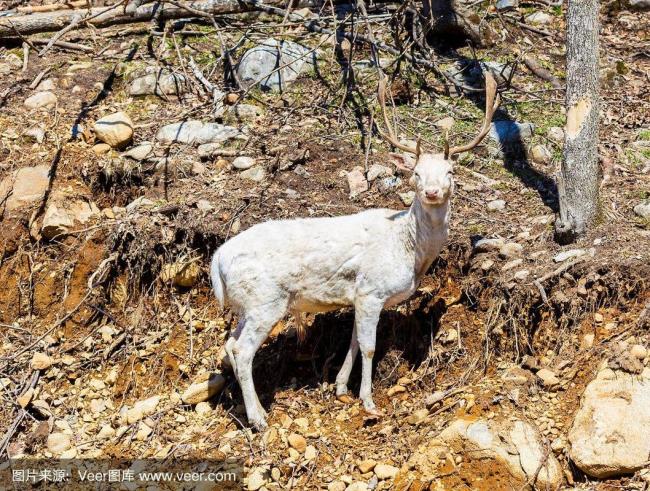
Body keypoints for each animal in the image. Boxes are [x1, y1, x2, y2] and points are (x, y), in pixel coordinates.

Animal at [210, 73, 498, 430]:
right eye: (416, 173)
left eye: (450, 172)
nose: (431, 192)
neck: (410, 251)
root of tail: (216, 261)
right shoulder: (372, 291)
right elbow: (370, 346)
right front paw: (368, 400)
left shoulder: (358, 297)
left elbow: (354, 342)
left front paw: (340, 387)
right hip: (266, 300)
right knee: (243, 349)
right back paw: (258, 417)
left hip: (245, 305)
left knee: (229, 343)